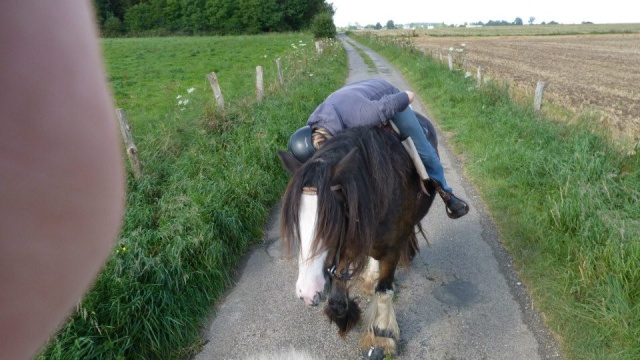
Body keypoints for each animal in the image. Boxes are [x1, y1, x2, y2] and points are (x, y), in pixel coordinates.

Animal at [278, 114, 438, 358]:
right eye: (296, 222)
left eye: (332, 225)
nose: (307, 293)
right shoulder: (346, 244)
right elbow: (338, 293)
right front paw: (344, 315)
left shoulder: (390, 247)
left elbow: (384, 292)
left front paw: (381, 337)